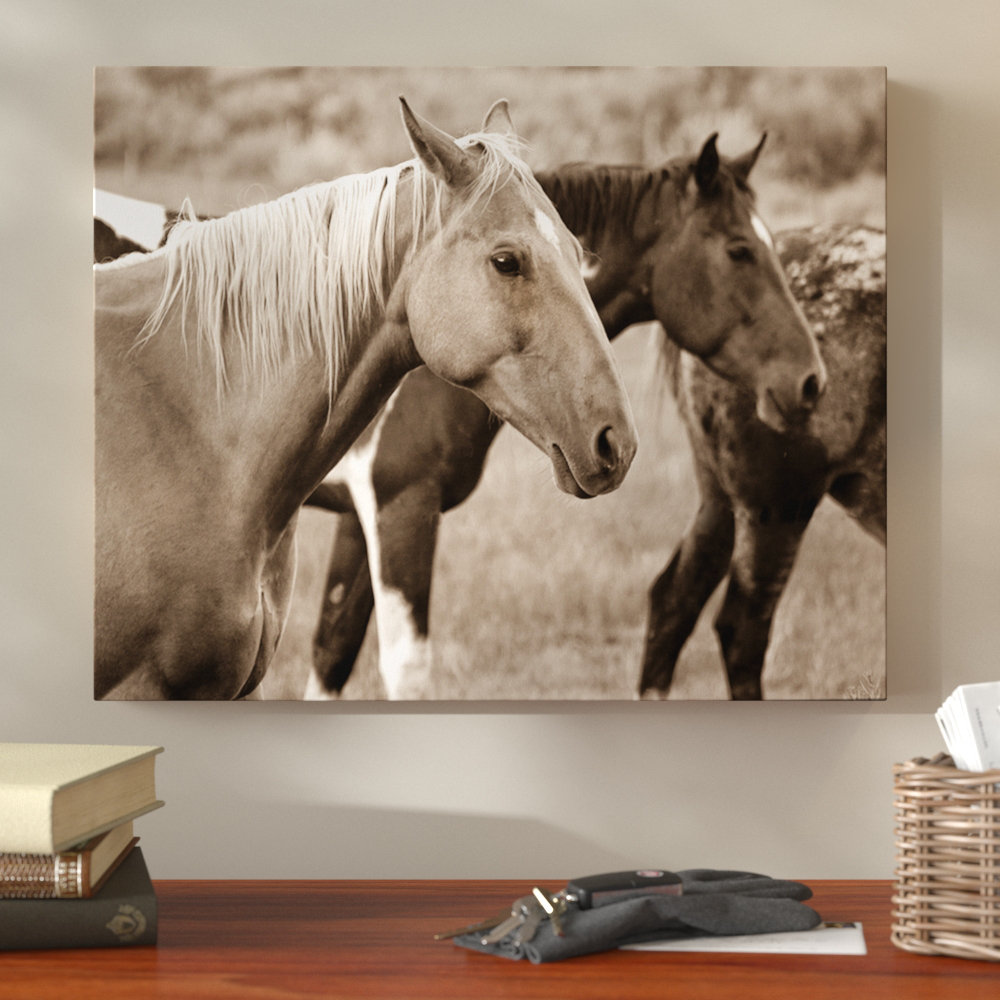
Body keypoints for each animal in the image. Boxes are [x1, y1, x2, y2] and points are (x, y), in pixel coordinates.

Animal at [304, 134, 829, 699]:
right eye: (739, 250)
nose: (810, 381)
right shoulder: (401, 507)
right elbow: (404, 667)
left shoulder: (361, 515)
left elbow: (332, 650)